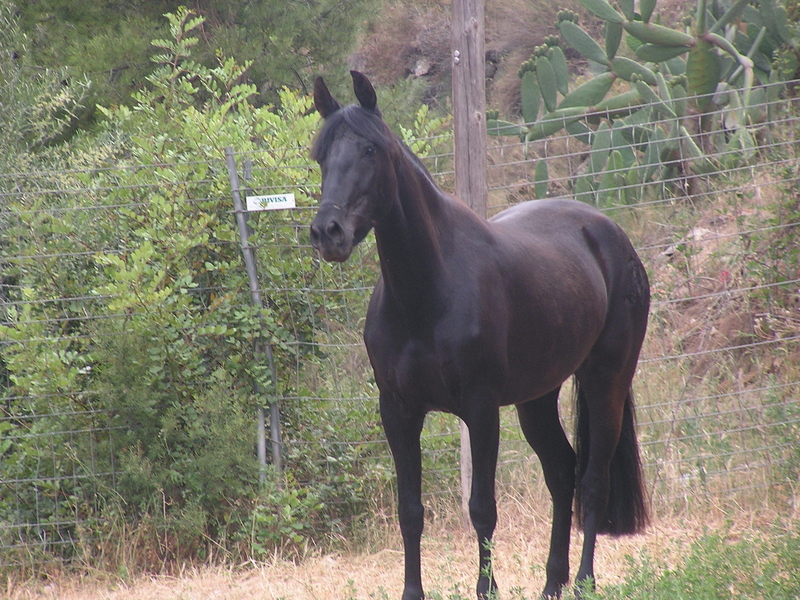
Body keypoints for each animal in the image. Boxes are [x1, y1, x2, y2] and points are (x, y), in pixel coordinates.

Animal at [309, 71, 650, 600]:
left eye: (370, 150)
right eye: (321, 155)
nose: (329, 232)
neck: (427, 292)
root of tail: (611, 236)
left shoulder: (481, 407)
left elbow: (482, 509)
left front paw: (487, 588)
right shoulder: (398, 410)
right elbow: (411, 511)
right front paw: (412, 592)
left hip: (606, 381)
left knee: (593, 480)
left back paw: (584, 582)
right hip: (537, 397)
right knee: (562, 471)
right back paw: (552, 583)